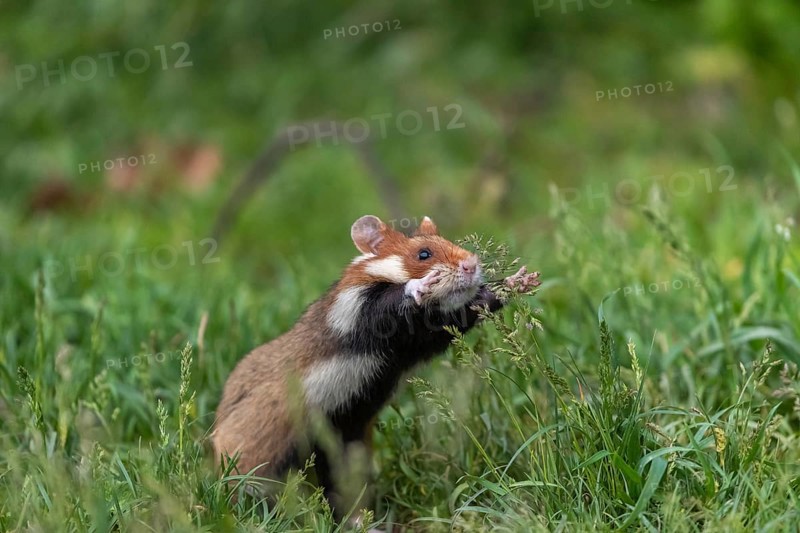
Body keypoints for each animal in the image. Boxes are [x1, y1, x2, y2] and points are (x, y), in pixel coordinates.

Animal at [211, 215, 540, 512]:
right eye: (423, 253)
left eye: (449, 241)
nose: (471, 265)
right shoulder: (359, 309)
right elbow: (395, 299)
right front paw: (421, 284)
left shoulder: (427, 335)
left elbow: (468, 309)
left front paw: (519, 281)